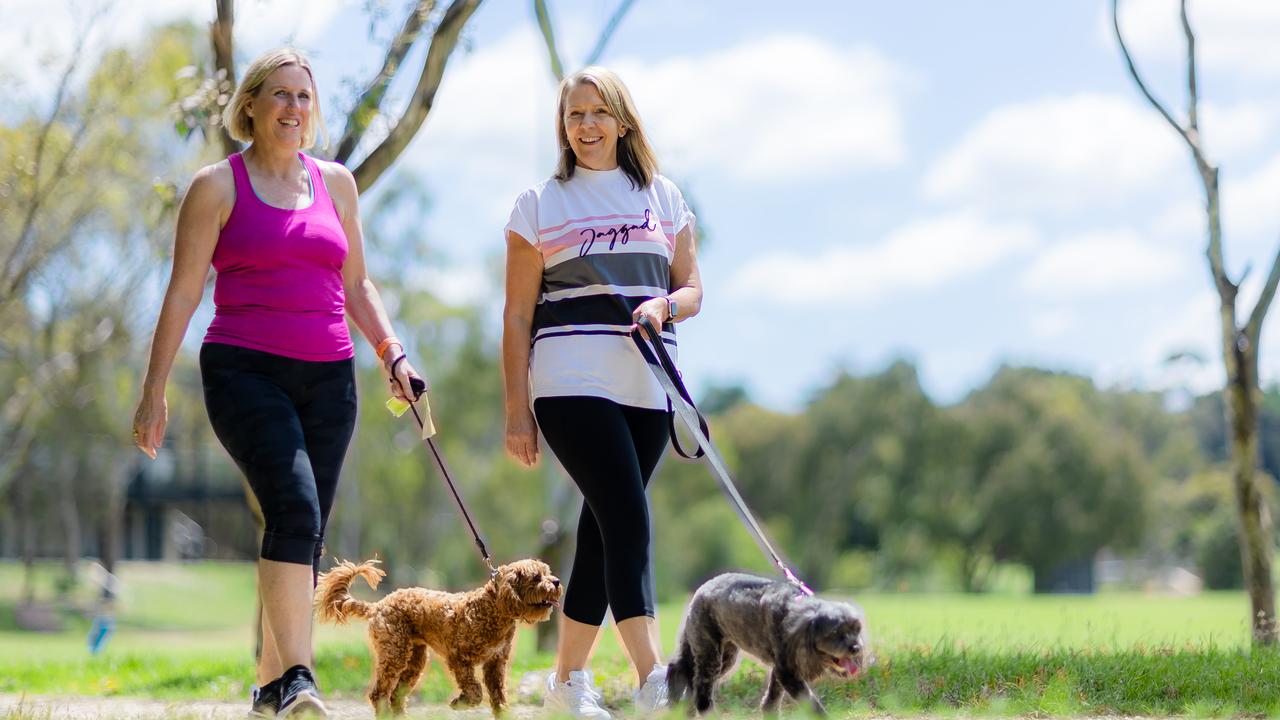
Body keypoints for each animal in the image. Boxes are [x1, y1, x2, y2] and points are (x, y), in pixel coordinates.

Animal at [312, 556, 558, 712]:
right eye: (537, 577)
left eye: (547, 573)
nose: (556, 581)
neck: (494, 608)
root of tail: (378, 605)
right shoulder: (459, 658)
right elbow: (475, 690)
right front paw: (461, 702)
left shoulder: (495, 664)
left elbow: (499, 699)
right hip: (395, 652)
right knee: (379, 694)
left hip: (415, 659)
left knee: (396, 696)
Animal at [665, 571, 865, 712]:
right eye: (836, 633)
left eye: (856, 630)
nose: (856, 648)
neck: (794, 613)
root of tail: (700, 591)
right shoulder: (787, 673)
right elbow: (811, 703)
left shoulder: (781, 669)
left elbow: (772, 701)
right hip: (710, 653)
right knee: (699, 687)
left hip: (725, 656)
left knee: (688, 677)